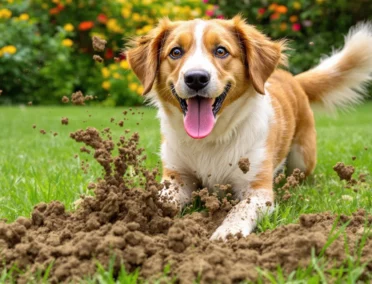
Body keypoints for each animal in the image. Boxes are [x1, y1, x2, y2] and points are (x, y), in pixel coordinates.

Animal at [127, 16, 372, 240]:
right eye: (176, 52)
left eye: (221, 51)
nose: (196, 78)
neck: (210, 139)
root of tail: (293, 79)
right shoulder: (177, 178)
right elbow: (162, 200)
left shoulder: (257, 189)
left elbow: (240, 209)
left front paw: (227, 232)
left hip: (302, 158)